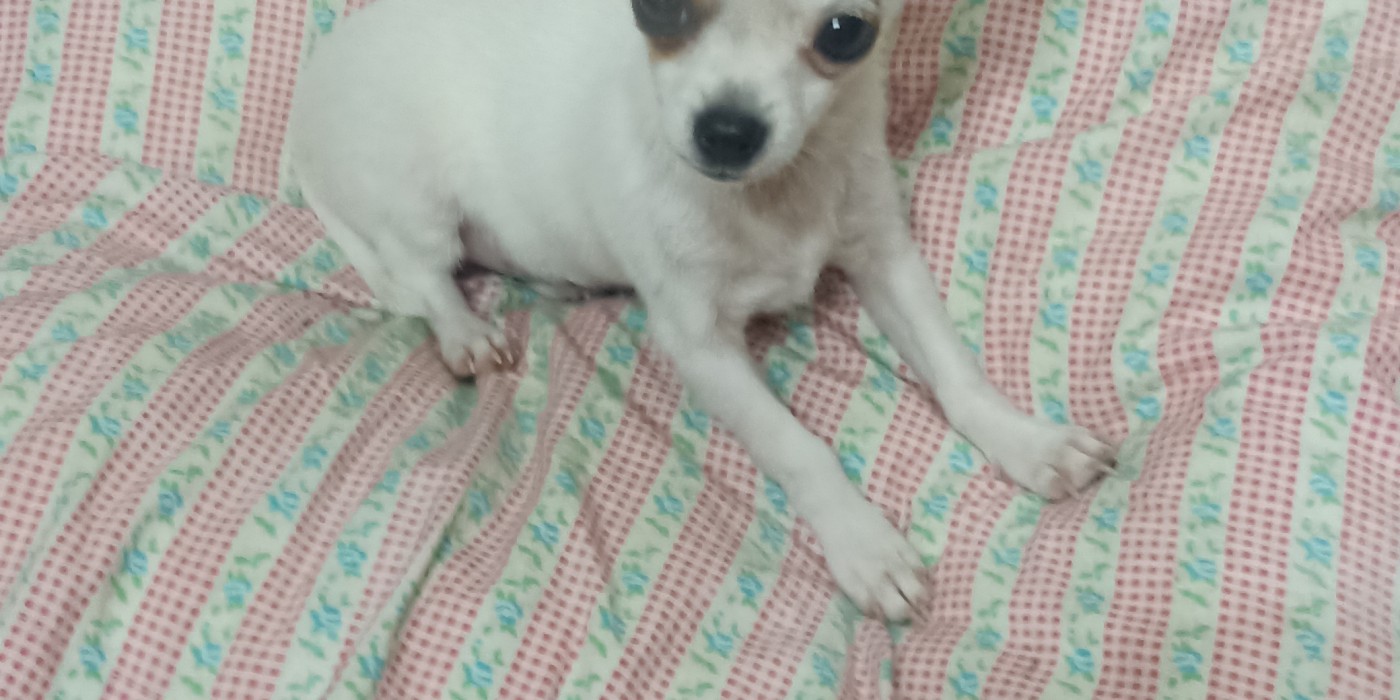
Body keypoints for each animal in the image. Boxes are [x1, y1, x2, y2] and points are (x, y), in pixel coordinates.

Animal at [288, 0, 1118, 621]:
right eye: (657, 8)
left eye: (845, 32)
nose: (726, 129)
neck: (774, 198)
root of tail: (321, 67)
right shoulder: (699, 344)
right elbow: (798, 448)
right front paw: (864, 545)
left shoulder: (886, 257)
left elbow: (956, 374)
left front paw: (1028, 442)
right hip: (413, 196)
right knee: (424, 277)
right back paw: (465, 331)